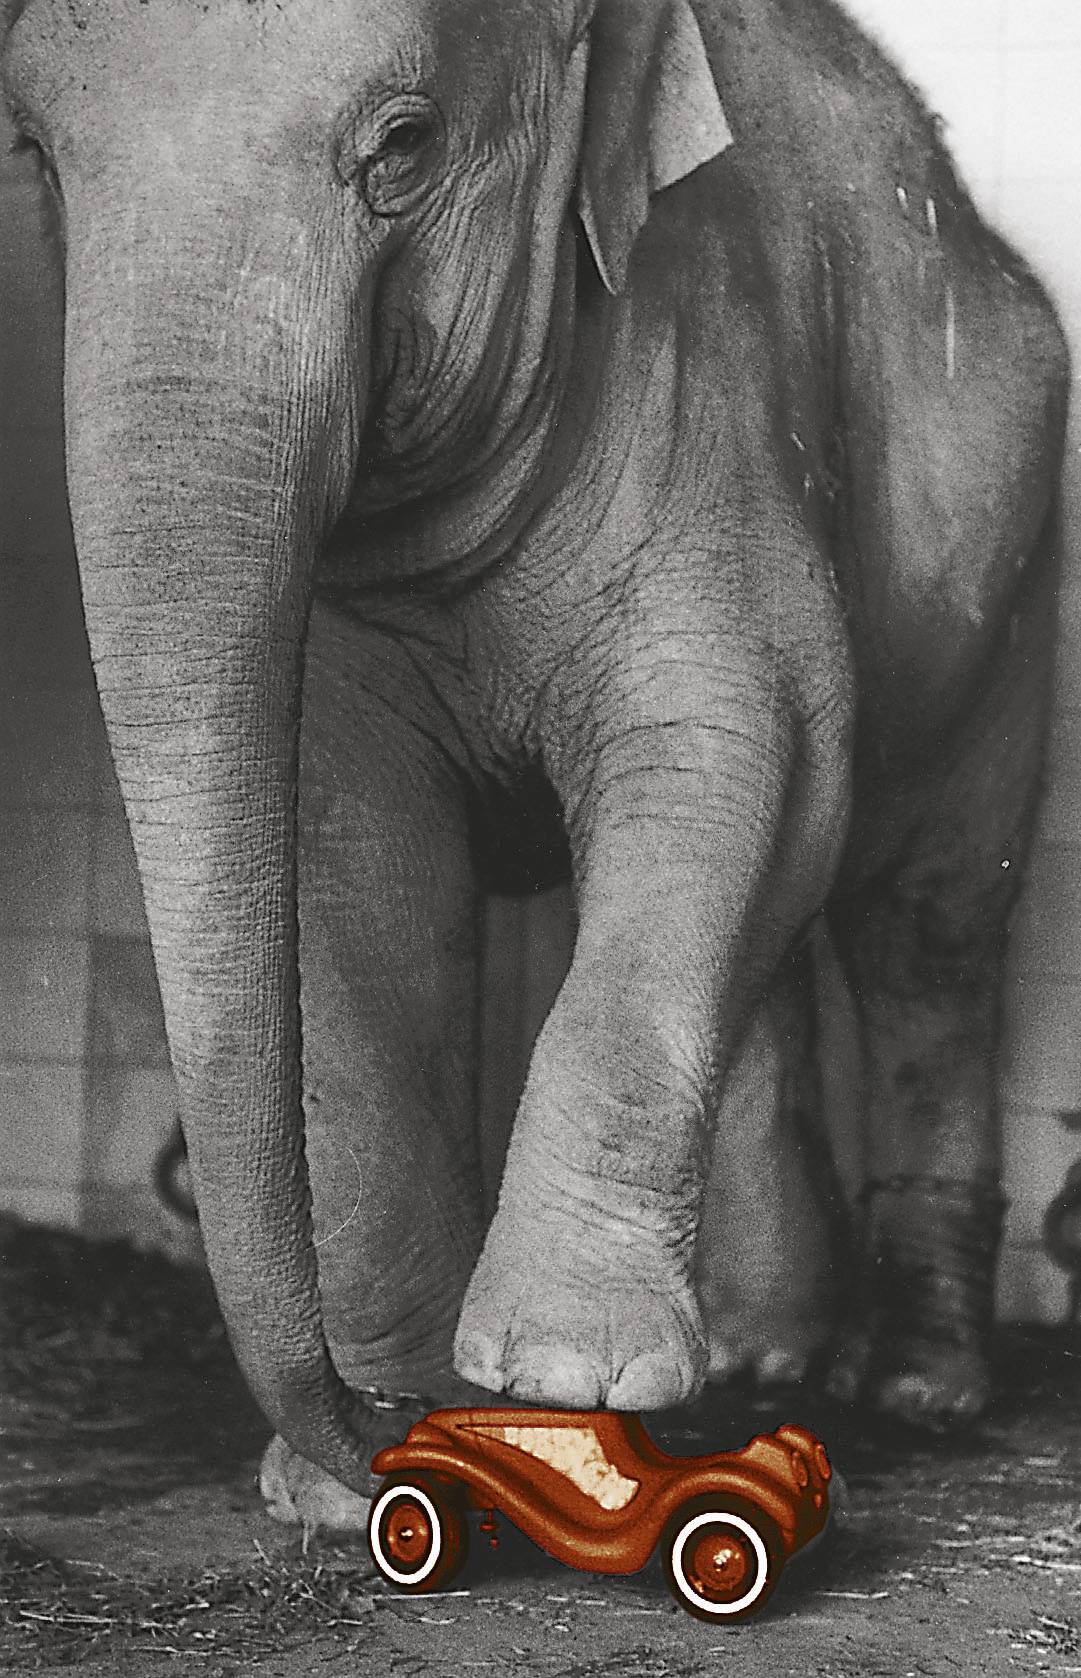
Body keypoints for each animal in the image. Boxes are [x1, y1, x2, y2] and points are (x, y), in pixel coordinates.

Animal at [1, 0, 1068, 1531]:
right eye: (34, 158)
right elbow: (349, 852)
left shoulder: (708, 375)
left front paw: (568, 1376)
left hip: (1015, 559)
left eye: (404, 145)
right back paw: (761, 1351)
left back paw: (917, 1387)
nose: (376, 1432)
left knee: (925, 918)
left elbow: (739, 753)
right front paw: (360, 1480)